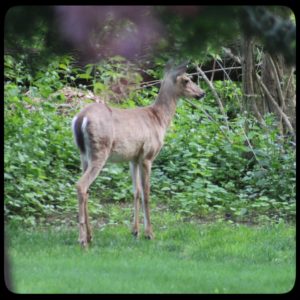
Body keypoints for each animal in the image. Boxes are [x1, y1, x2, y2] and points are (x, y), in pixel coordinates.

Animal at [71, 60, 205, 246]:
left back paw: (90, 236)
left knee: (87, 189)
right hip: (100, 150)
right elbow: (147, 193)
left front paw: (135, 231)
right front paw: (149, 233)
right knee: (81, 185)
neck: (159, 119)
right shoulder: (148, 156)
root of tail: (80, 119)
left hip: (83, 155)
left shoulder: (133, 158)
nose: (202, 93)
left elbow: (136, 192)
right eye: (187, 80)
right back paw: (83, 239)